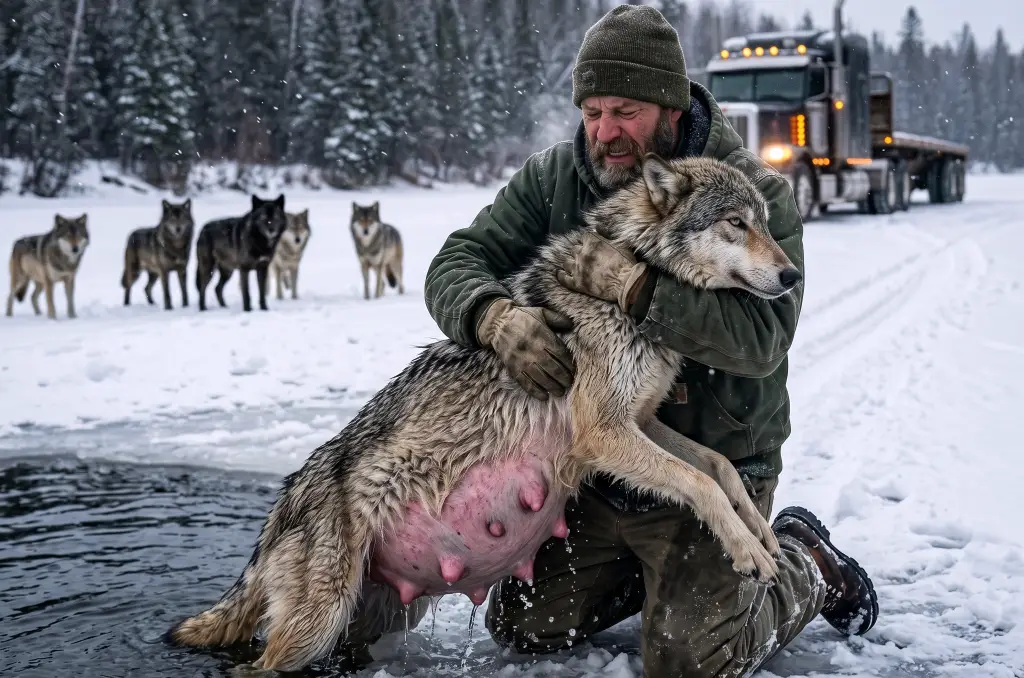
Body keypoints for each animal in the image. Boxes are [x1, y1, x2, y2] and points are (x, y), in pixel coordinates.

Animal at [168, 155, 802, 672]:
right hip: (317, 625)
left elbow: (718, 466)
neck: (628, 279)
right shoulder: (607, 433)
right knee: (255, 666)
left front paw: (761, 534)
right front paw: (746, 549)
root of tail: (284, 499)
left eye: (766, 222)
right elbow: (699, 481)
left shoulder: (642, 422)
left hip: (377, 619)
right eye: (735, 224)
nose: (794, 274)